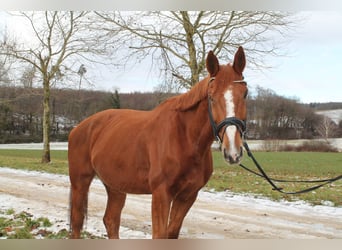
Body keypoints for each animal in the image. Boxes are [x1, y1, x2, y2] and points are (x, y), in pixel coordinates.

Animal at [67, 46, 248, 238]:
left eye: (245, 94)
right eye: (211, 97)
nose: (233, 151)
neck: (184, 138)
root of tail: (79, 128)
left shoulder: (187, 196)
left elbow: (171, 233)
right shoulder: (161, 194)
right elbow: (160, 235)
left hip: (115, 186)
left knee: (111, 220)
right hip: (80, 182)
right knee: (77, 222)